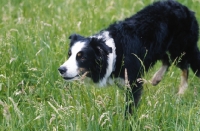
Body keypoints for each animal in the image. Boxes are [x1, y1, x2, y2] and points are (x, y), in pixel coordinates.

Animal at [58, 0, 199, 114]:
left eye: (82, 57)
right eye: (69, 54)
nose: (61, 69)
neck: (114, 53)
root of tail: (186, 9)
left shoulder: (133, 81)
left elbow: (130, 107)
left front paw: (128, 122)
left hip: (180, 48)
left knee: (184, 65)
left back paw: (181, 92)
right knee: (167, 60)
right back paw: (156, 79)